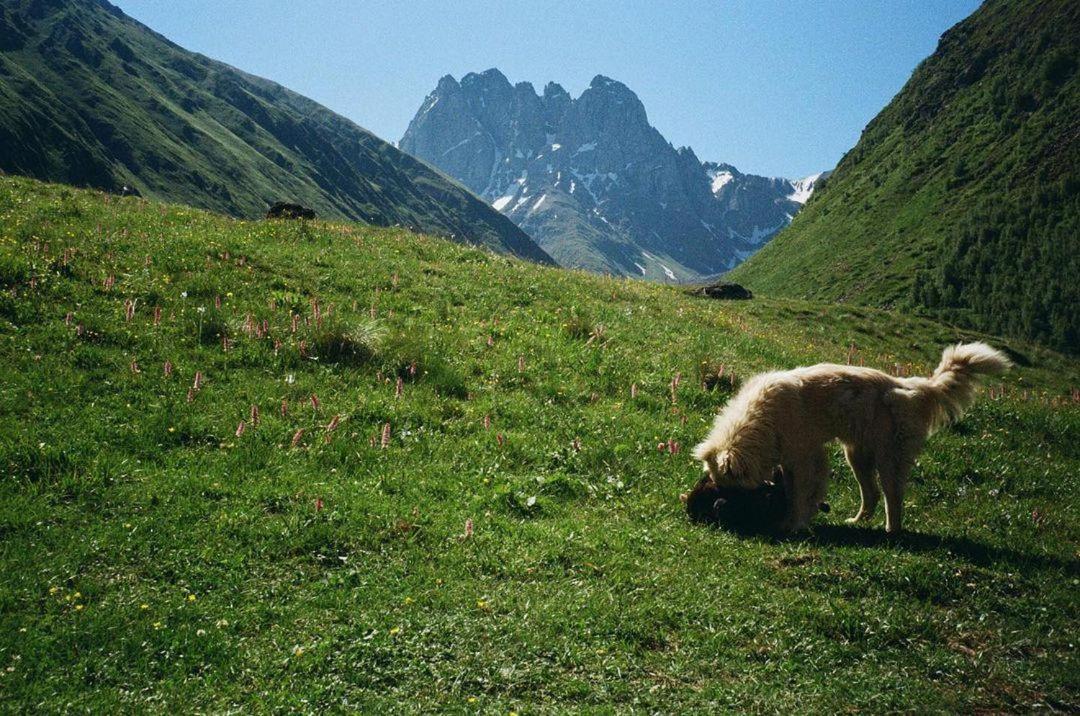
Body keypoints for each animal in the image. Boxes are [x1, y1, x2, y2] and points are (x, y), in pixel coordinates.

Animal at [691, 345, 1010, 535]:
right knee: (872, 495)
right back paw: (857, 522)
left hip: (888, 459)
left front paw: (794, 523)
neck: (760, 418)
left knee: (892, 498)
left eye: (731, 487)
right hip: (857, 456)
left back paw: (891, 532)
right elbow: (797, 492)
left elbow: (801, 494)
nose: (720, 502)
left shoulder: (805, 457)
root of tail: (914, 387)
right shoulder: (796, 459)